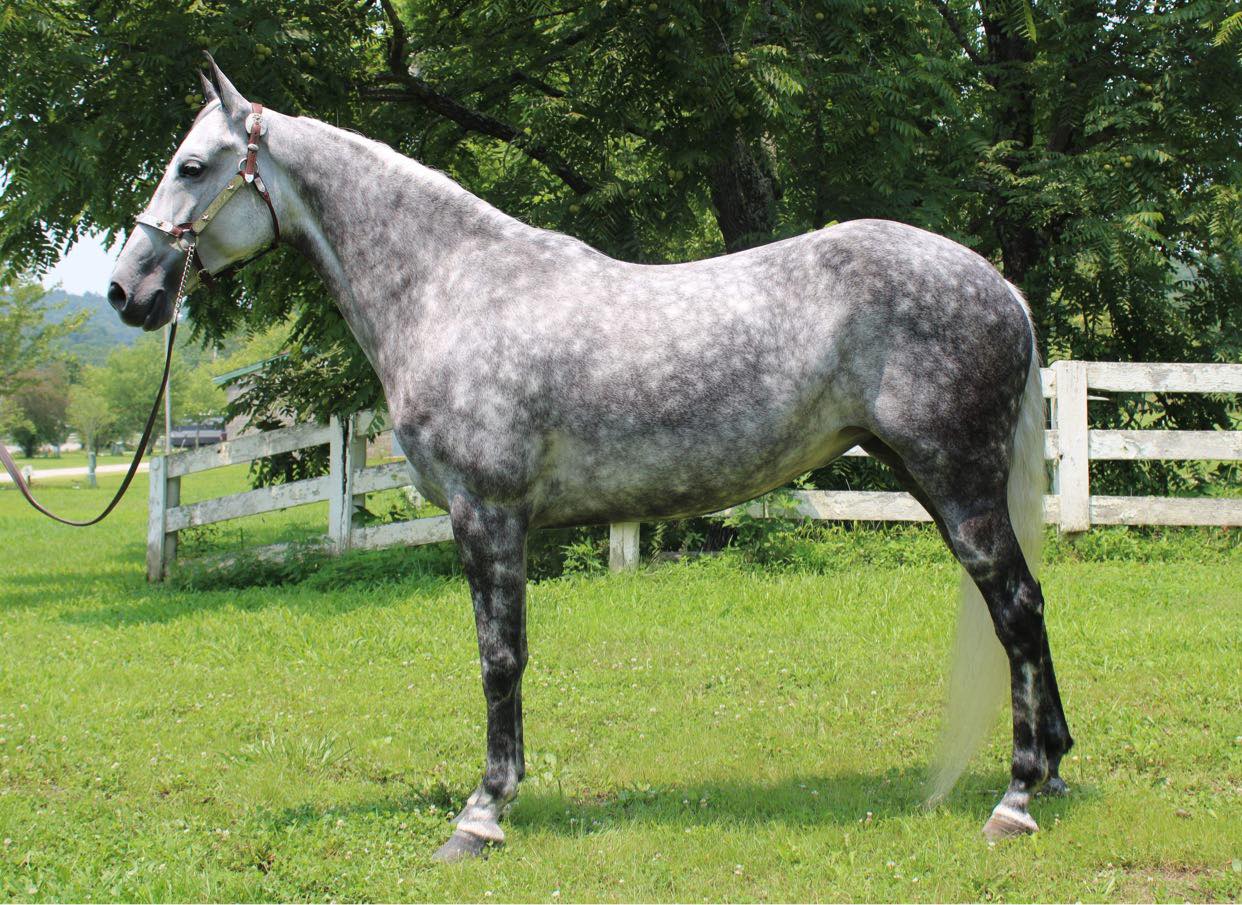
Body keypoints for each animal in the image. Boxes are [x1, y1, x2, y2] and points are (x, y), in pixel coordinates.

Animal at [107, 58, 1072, 861]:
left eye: (192, 166)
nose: (127, 290)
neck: (455, 288)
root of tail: (999, 286)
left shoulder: (488, 515)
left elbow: (500, 657)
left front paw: (483, 812)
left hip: (957, 482)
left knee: (1018, 607)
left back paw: (1018, 796)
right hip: (928, 476)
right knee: (1024, 605)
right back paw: (1053, 766)